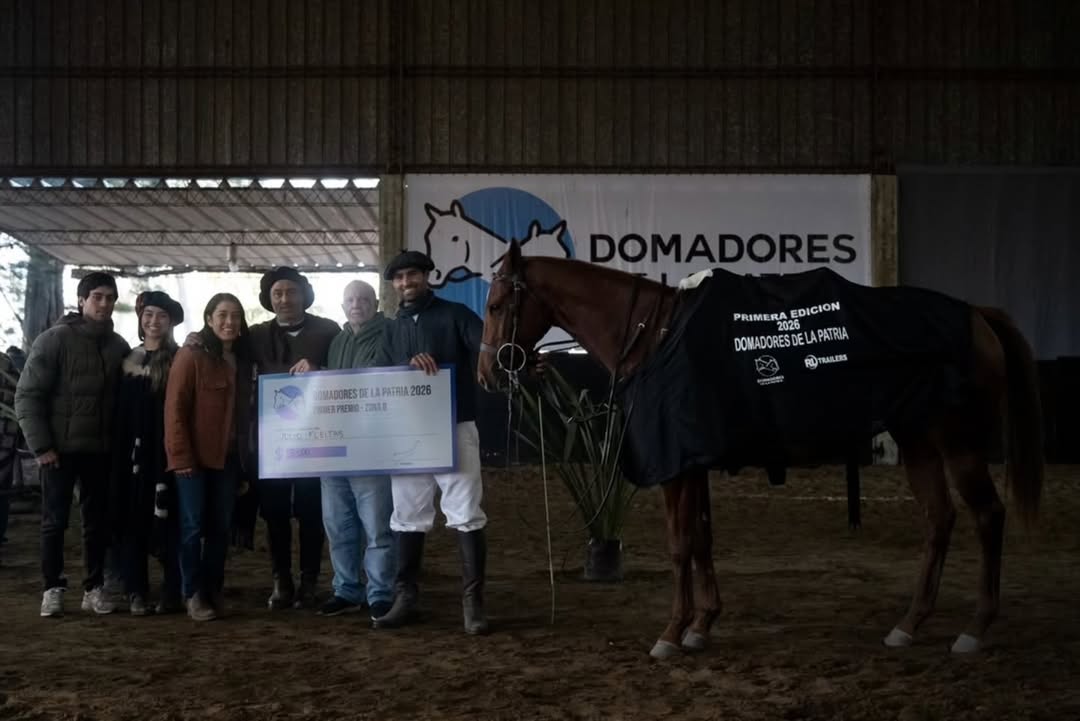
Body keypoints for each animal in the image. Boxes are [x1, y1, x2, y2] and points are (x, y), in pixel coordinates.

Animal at [476, 239, 1044, 659]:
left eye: (497, 304)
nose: (487, 373)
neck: (655, 334)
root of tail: (975, 315)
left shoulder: (677, 466)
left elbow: (680, 543)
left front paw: (672, 632)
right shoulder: (695, 461)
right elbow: (702, 540)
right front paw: (703, 624)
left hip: (958, 442)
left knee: (987, 515)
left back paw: (974, 628)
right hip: (919, 439)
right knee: (939, 519)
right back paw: (909, 623)